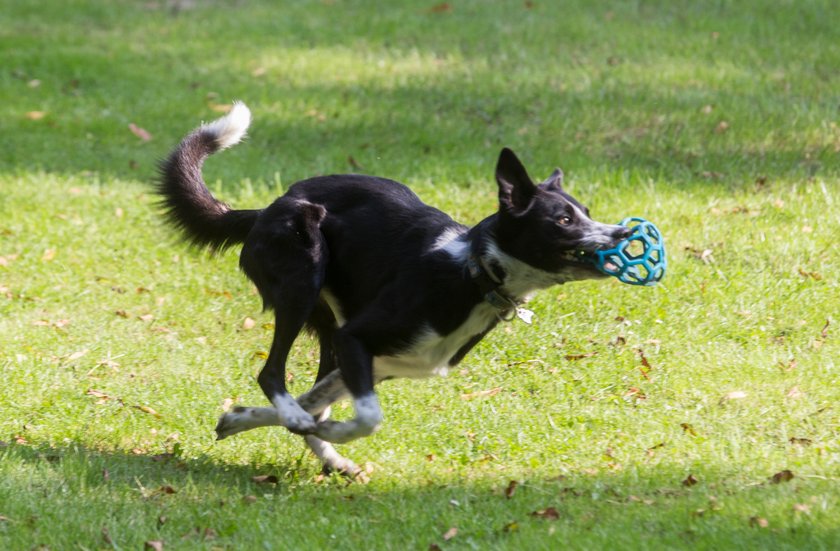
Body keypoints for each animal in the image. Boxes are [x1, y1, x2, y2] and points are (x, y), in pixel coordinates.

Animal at [158, 102, 632, 474]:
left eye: (587, 211)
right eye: (564, 220)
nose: (623, 233)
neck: (474, 271)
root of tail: (265, 209)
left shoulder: (381, 360)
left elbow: (320, 402)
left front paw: (241, 419)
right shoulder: (357, 339)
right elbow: (366, 417)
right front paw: (326, 428)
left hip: (328, 325)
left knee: (306, 394)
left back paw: (328, 456)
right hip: (303, 276)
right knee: (271, 372)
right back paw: (304, 425)